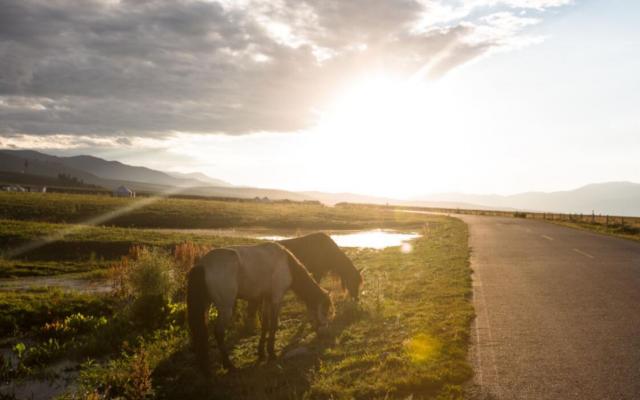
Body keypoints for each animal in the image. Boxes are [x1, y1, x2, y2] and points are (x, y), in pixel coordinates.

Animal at [186, 241, 332, 372]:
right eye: (325, 311)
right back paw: (229, 365)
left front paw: (262, 353)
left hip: (206, 306)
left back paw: (204, 366)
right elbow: (273, 325)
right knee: (219, 332)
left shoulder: (266, 298)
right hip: (225, 308)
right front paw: (272, 354)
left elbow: (265, 325)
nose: (325, 335)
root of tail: (202, 265)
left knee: (202, 332)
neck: (287, 265)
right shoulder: (277, 297)